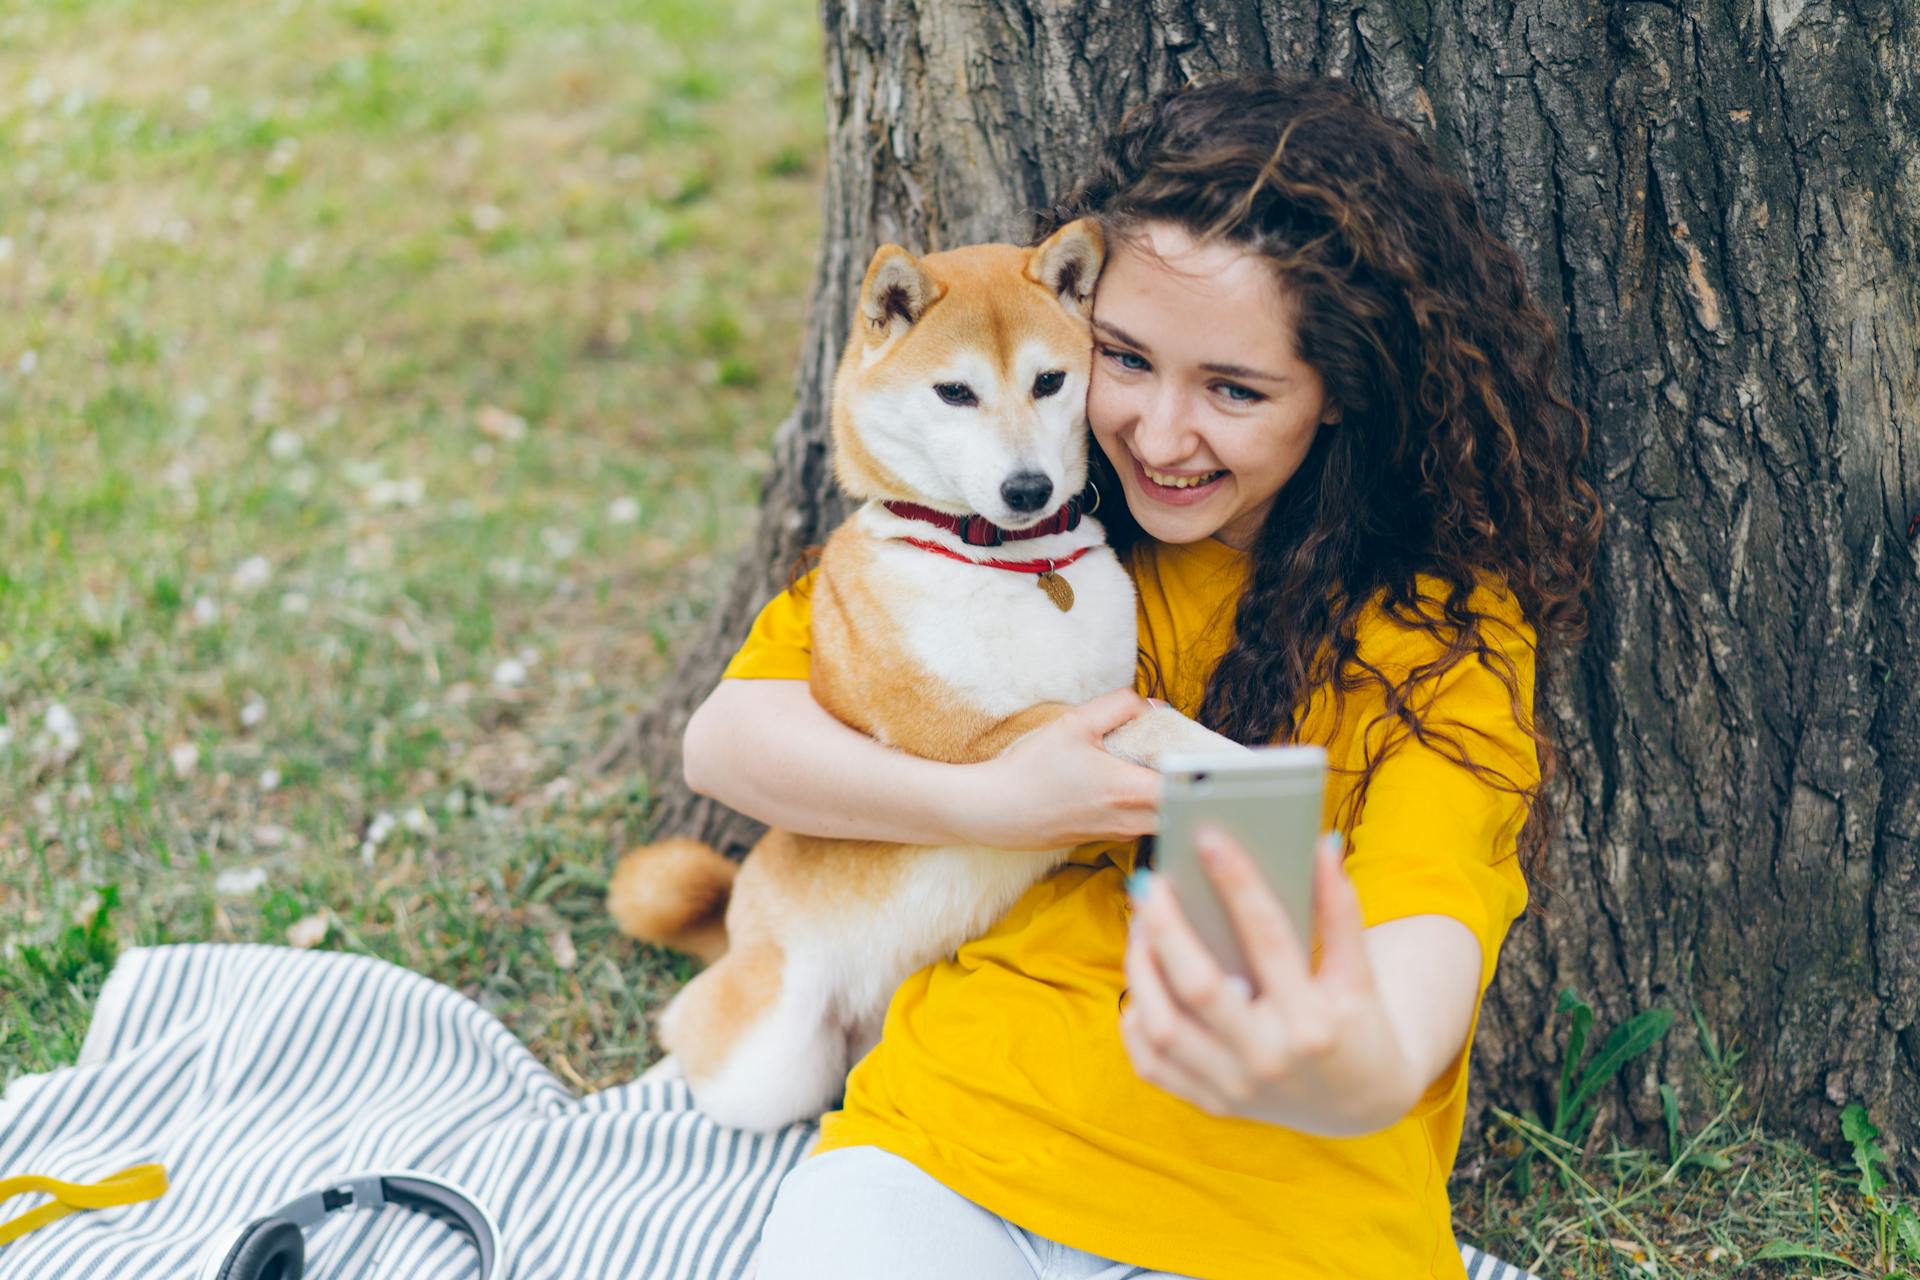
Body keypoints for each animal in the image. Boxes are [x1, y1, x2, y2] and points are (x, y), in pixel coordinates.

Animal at [610, 220, 1244, 1128]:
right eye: (955, 393)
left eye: (1050, 380)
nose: (1028, 487)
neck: (1012, 564)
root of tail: (738, 924)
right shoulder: (963, 738)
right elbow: (1141, 717)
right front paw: (1234, 756)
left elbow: (1140, 705)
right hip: (770, 1060)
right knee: (691, 1035)